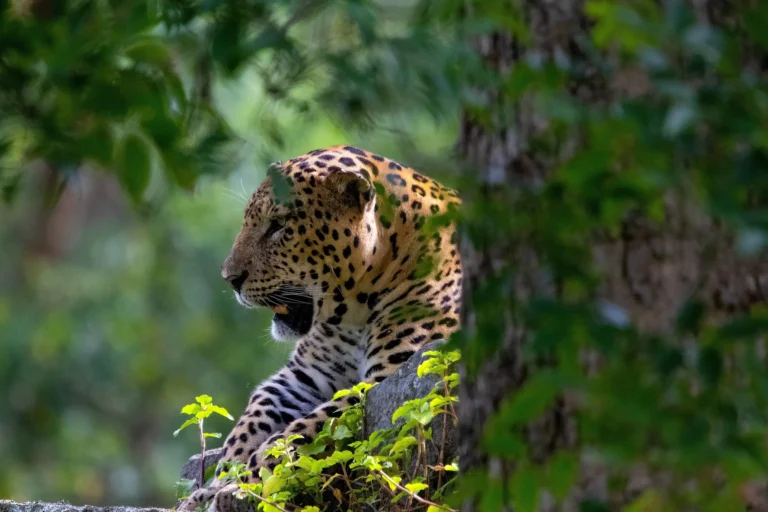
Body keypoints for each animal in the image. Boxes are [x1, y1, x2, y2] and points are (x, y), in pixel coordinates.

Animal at [179, 145, 462, 512]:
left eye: (279, 225)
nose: (230, 278)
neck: (356, 312)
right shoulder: (304, 377)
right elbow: (252, 420)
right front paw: (215, 482)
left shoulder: (387, 379)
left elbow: (296, 433)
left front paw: (240, 485)